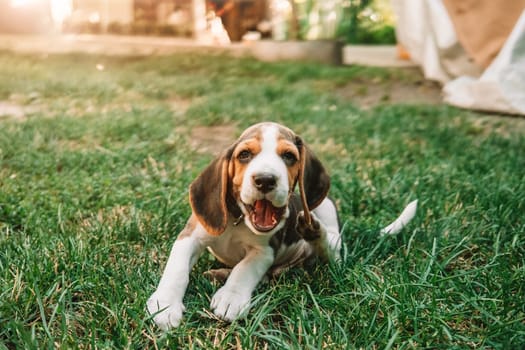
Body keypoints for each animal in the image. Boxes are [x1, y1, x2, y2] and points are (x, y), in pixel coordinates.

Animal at [145, 121, 416, 330]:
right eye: (244, 155)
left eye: (288, 156)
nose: (265, 180)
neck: (239, 219)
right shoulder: (190, 236)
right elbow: (177, 269)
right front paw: (165, 305)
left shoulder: (265, 251)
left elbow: (244, 269)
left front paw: (231, 298)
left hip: (327, 214)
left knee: (330, 252)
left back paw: (313, 231)